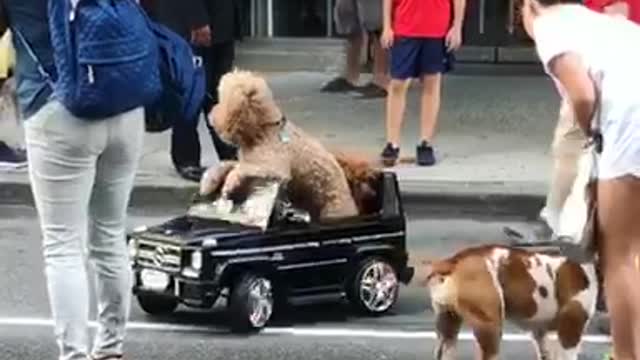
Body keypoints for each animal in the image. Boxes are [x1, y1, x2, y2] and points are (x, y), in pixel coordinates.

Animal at [201, 70, 360, 221]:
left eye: (221, 100)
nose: (210, 115)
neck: (265, 130)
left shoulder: (273, 167)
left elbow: (240, 170)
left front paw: (229, 182)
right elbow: (231, 165)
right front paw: (211, 180)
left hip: (331, 210)